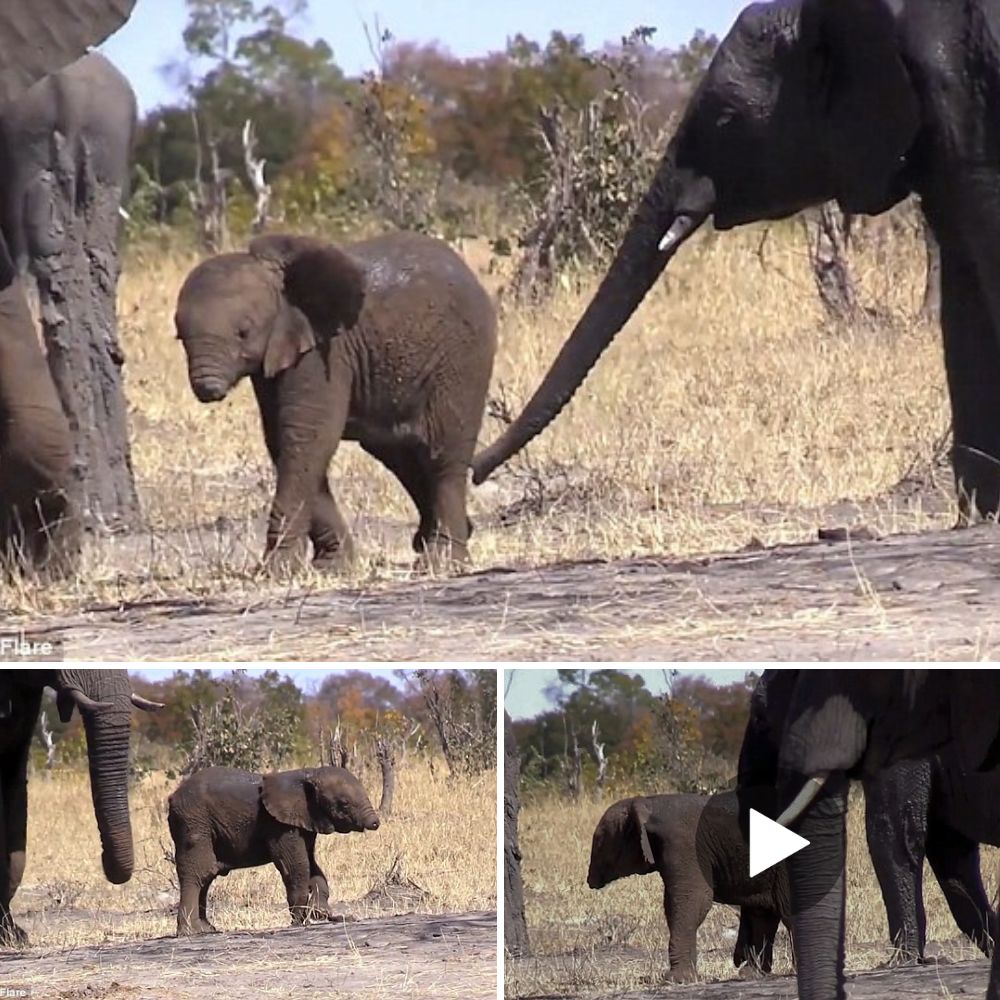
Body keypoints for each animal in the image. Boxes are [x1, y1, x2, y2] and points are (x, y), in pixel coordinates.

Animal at [167, 765, 381, 935]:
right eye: (344, 803)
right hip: (193, 822)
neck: (307, 773)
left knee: (207, 876)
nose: (375, 823)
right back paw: (190, 932)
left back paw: (207, 930)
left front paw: (319, 913)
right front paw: (300, 921)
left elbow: (312, 865)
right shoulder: (279, 824)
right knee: (200, 871)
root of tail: (172, 797)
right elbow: (296, 865)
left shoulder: (305, 820)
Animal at [174, 231, 497, 573]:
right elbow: (282, 441)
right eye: (180, 337)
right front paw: (332, 566)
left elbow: (308, 436)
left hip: (463, 356)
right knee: (400, 454)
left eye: (243, 333)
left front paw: (277, 570)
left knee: (443, 453)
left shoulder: (325, 353)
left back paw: (442, 561)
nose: (208, 389)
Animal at [588, 791, 793, 982]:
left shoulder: (684, 844)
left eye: (599, 840)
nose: (589, 881)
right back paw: (752, 974)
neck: (650, 803)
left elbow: (693, 899)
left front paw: (675, 980)